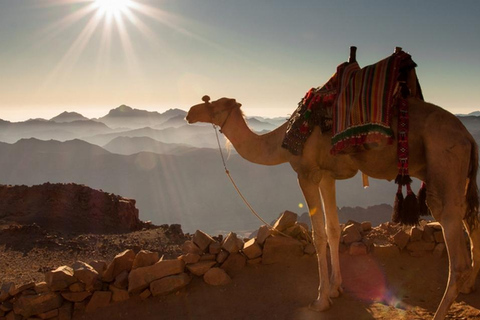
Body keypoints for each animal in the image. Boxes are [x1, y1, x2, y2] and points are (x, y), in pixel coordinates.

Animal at [186, 77, 478, 320]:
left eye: (214, 104)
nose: (190, 112)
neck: (282, 141)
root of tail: (468, 137)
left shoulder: (306, 173)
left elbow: (318, 235)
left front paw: (321, 299)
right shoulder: (327, 176)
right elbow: (333, 229)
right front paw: (337, 288)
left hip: (443, 162)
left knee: (454, 242)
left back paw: (444, 306)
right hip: (458, 175)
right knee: (469, 216)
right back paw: (468, 286)